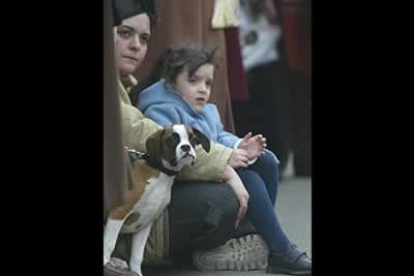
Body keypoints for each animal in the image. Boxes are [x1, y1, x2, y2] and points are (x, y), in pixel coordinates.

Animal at [103, 125, 210, 276]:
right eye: (170, 140)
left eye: (193, 139)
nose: (186, 147)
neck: (162, 175)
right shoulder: (119, 212)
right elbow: (109, 244)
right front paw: (104, 263)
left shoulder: (145, 224)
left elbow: (137, 255)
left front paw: (136, 272)